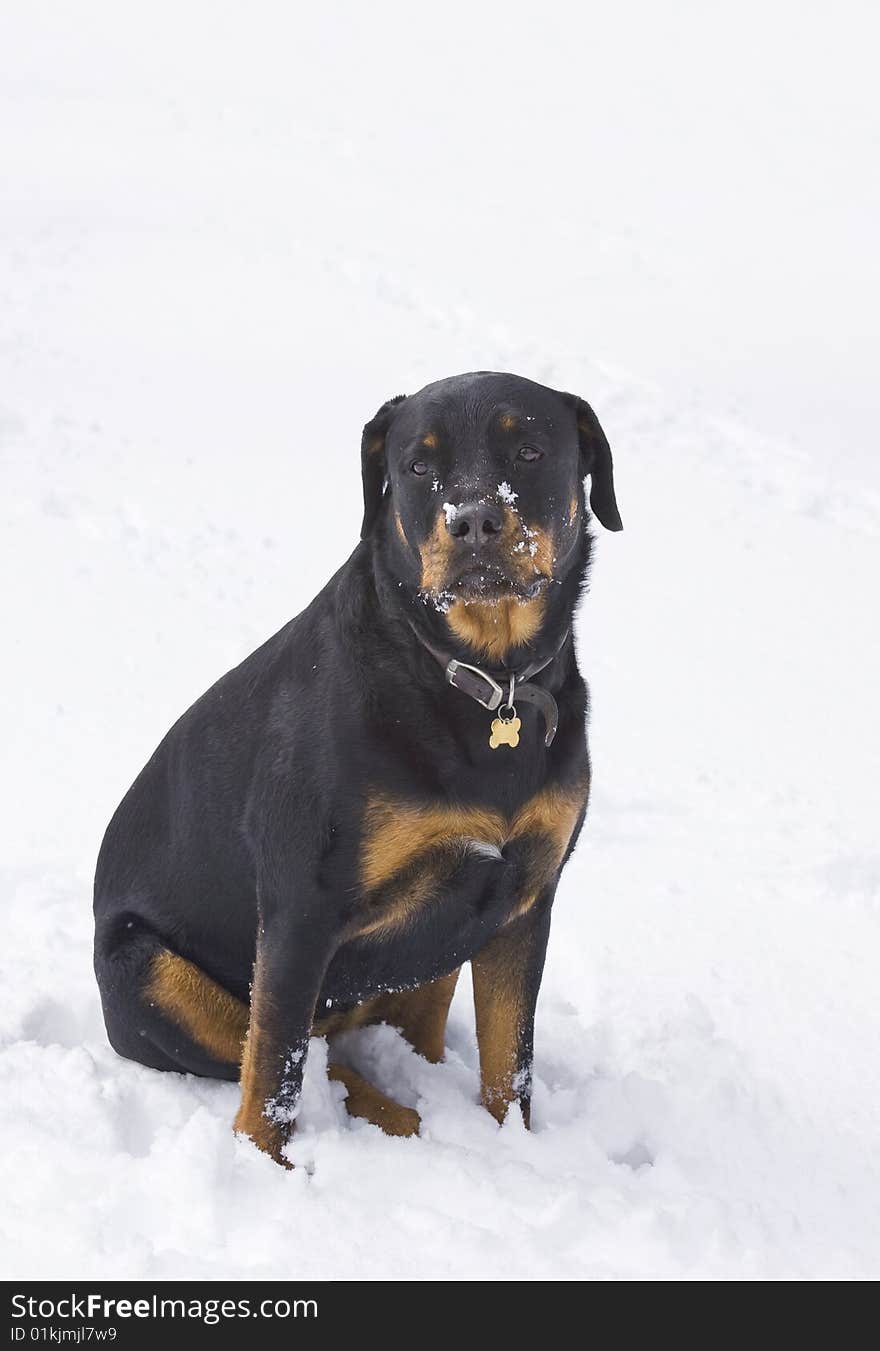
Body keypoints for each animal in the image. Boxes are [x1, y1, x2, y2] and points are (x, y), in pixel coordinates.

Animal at [93, 367, 621, 1161]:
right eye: (419, 465)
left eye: (529, 450)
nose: (472, 520)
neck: (481, 681)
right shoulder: (301, 904)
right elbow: (274, 1073)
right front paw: (267, 1168)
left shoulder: (526, 898)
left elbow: (510, 1065)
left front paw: (515, 1151)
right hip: (143, 966)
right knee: (295, 1054)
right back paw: (399, 1118)